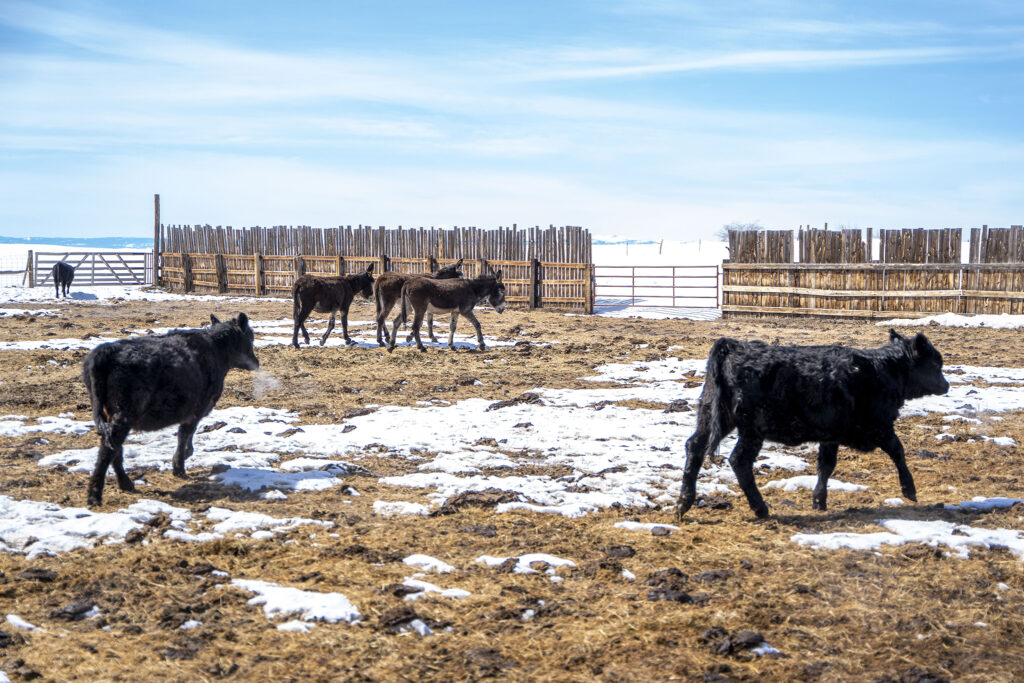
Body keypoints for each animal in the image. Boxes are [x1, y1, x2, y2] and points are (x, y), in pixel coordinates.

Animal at [83, 313, 260, 505]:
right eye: (250, 338)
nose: (256, 363)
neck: (215, 349)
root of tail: (107, 350)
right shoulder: (197, 409)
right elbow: (185, 434)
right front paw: (179, 465)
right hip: (123, 415)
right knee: (108, 450)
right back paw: (95, 495)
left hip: (110, 413)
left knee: (114, 448)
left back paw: (126, 484)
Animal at [675, 329, 946, 518]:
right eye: (935, 363)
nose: (946, 385)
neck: (882, 370)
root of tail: (734, 346)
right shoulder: (879, 426)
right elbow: (898, 451)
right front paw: (909, 490)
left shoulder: (831, 434)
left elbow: (826, 465)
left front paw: (819, 500)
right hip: (752, 429)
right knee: (739, 461)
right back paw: (760, 508)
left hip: (711, 416)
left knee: (695, 447)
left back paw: (683, 504)